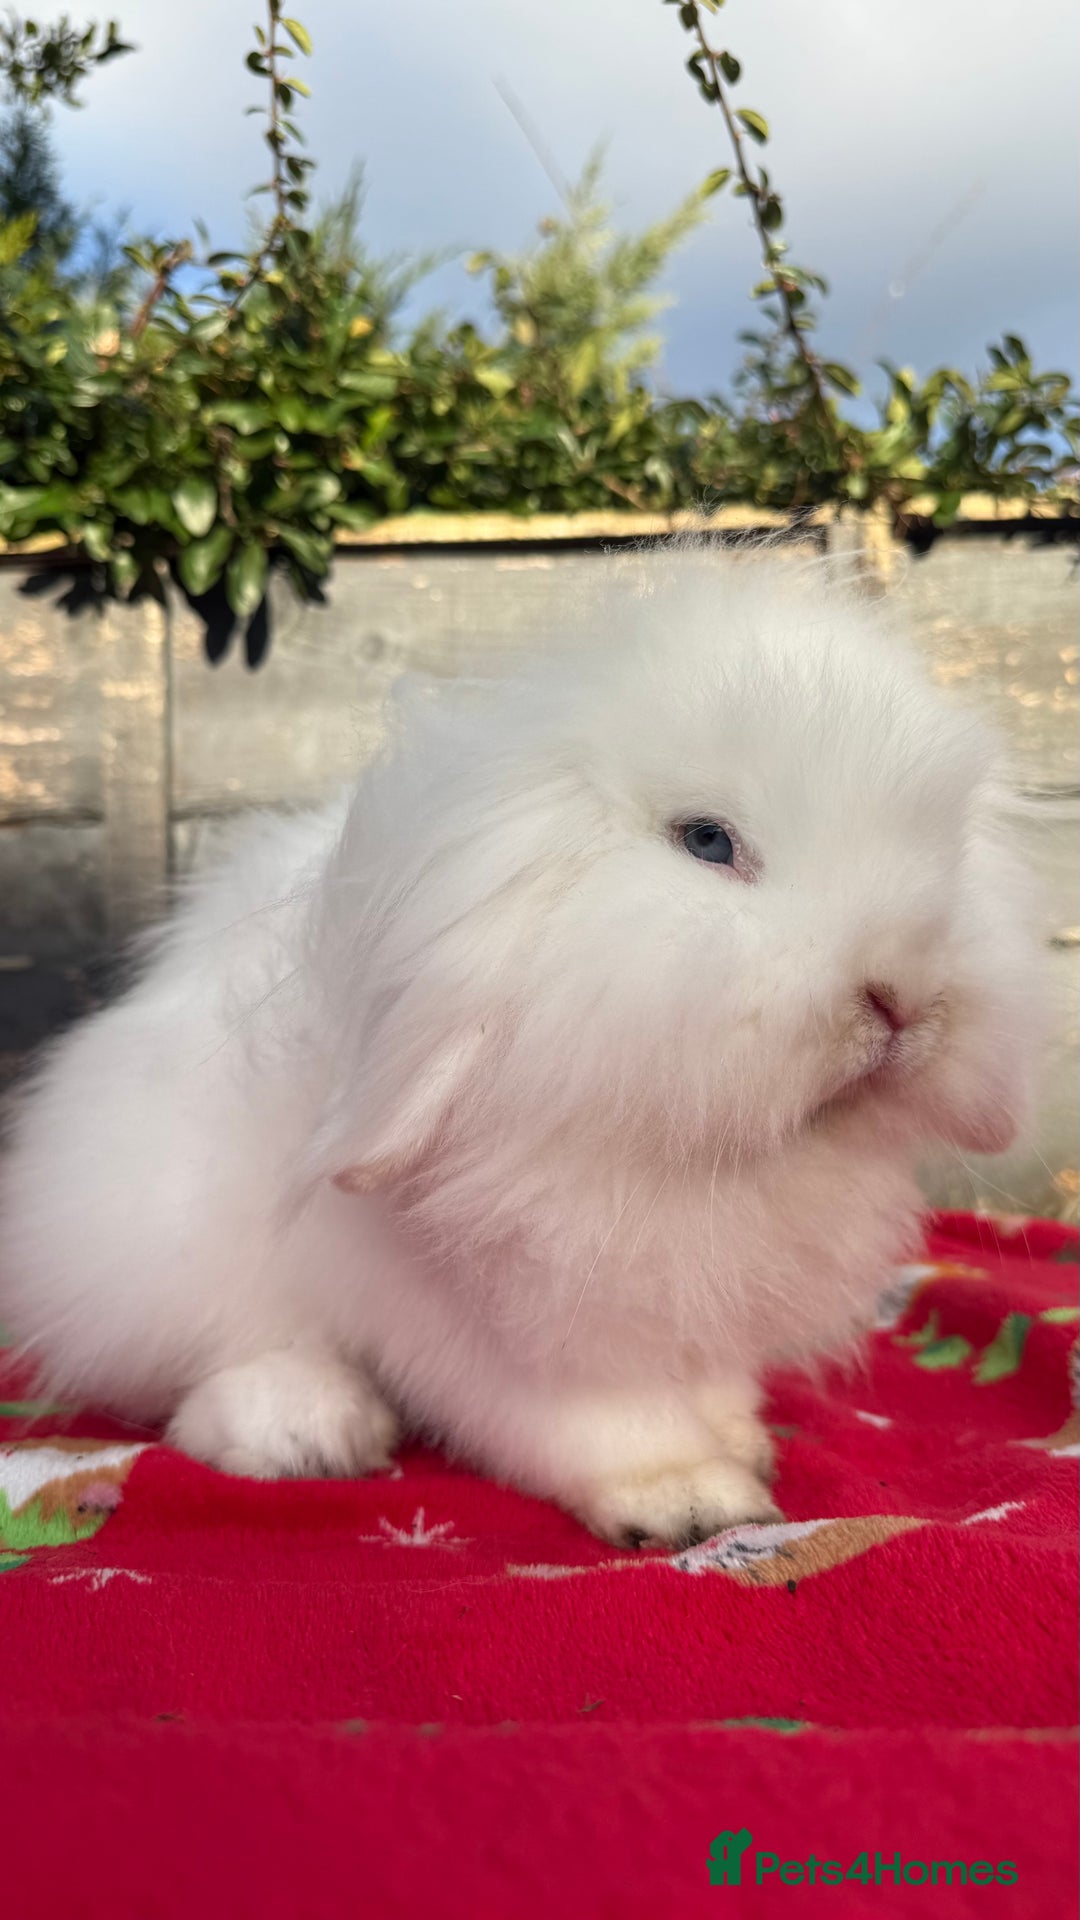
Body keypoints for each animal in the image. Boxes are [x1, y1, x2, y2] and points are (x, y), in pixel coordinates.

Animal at [0, 555, 1041, 1548]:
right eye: (707, 840)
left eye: (947, 847)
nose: (904, 995)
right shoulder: (504, 1315)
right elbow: (593, 1418)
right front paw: (691, 1498)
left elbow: (706, 1376)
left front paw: (737, 1432)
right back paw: (306, 1431)